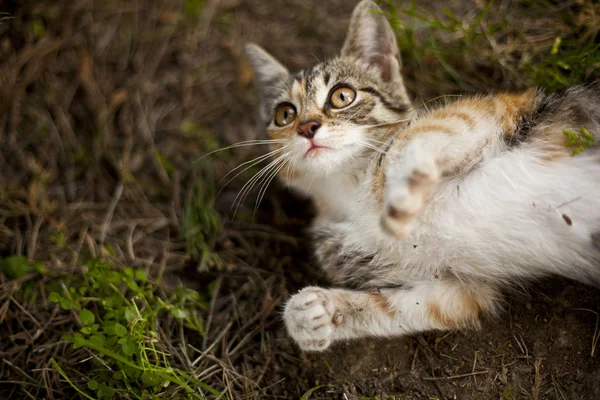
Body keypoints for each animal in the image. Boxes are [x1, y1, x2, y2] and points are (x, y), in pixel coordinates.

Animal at [243, 0, 600, 350]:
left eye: (342, 96)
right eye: (284, 114)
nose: (306, 127)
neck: (350, 187)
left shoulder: (497, 110)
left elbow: (409, 140)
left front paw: (400, 190)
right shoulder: (461, 289)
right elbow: (414, 306)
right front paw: (312, 314)